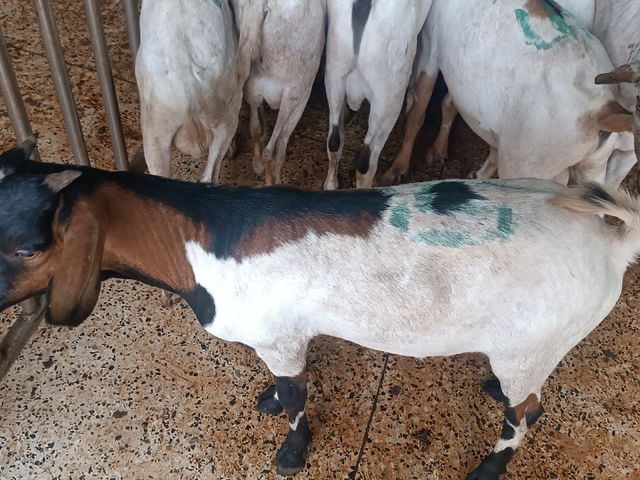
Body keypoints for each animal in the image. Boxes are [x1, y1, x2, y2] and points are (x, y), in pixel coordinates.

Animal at [2, 136, 640, 478]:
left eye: (28, 247)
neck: (201, 238)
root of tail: (613, 237)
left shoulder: (280, 337)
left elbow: (295, 396)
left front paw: (291, 451)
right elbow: (283, 387)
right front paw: (264, 400)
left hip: (532, 341)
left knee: (528, 411)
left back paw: (489, 466)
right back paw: (490, 388)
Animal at [238, 0, 326, 186]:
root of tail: (262, 5)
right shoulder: (299, 96)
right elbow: (280, 146)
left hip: (252, 85)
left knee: (255, 128)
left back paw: (258, 166)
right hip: (295, 92)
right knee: (272, 151)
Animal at [382, 0, 635, 188]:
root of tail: (605, 111)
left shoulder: (431, 44)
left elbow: (419, 110)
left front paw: (397, 169)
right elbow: (449, 104)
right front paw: (439, 151)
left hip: (529, 163)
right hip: (593, 166)